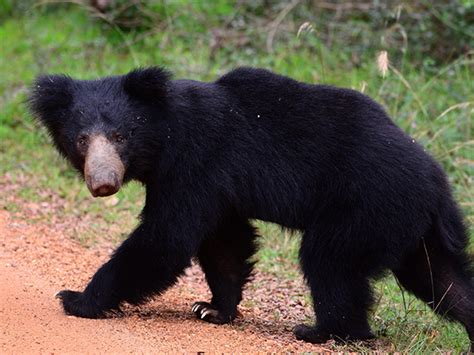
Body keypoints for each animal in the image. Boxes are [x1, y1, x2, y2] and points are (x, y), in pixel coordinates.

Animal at [29, 67, 474, 350]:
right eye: (81, 139)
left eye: (120, 136)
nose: (103, 183)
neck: (165, 134)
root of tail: (437, 180)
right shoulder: (218, 187)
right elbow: (224, 240)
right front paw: (211, 308)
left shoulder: (196, 162)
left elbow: (166, 238)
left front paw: (76, 299)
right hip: (408, 226)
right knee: (443, 279)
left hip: (364, 205)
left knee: (329, 262)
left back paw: (324, 331)